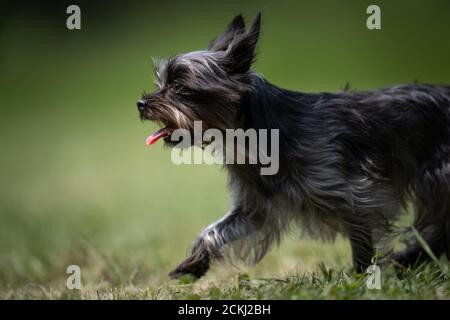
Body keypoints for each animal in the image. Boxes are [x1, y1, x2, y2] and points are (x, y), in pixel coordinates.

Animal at [137, 13, 450, 278]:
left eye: (179, 87)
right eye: (161, 82)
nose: (140, 104)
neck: (253, 136)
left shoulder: (361, 196)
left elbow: (363, 238)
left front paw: (364, 277)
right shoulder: (253, 209)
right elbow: (214, 230)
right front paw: (194, 263)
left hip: (437, 178)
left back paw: (410, 259)